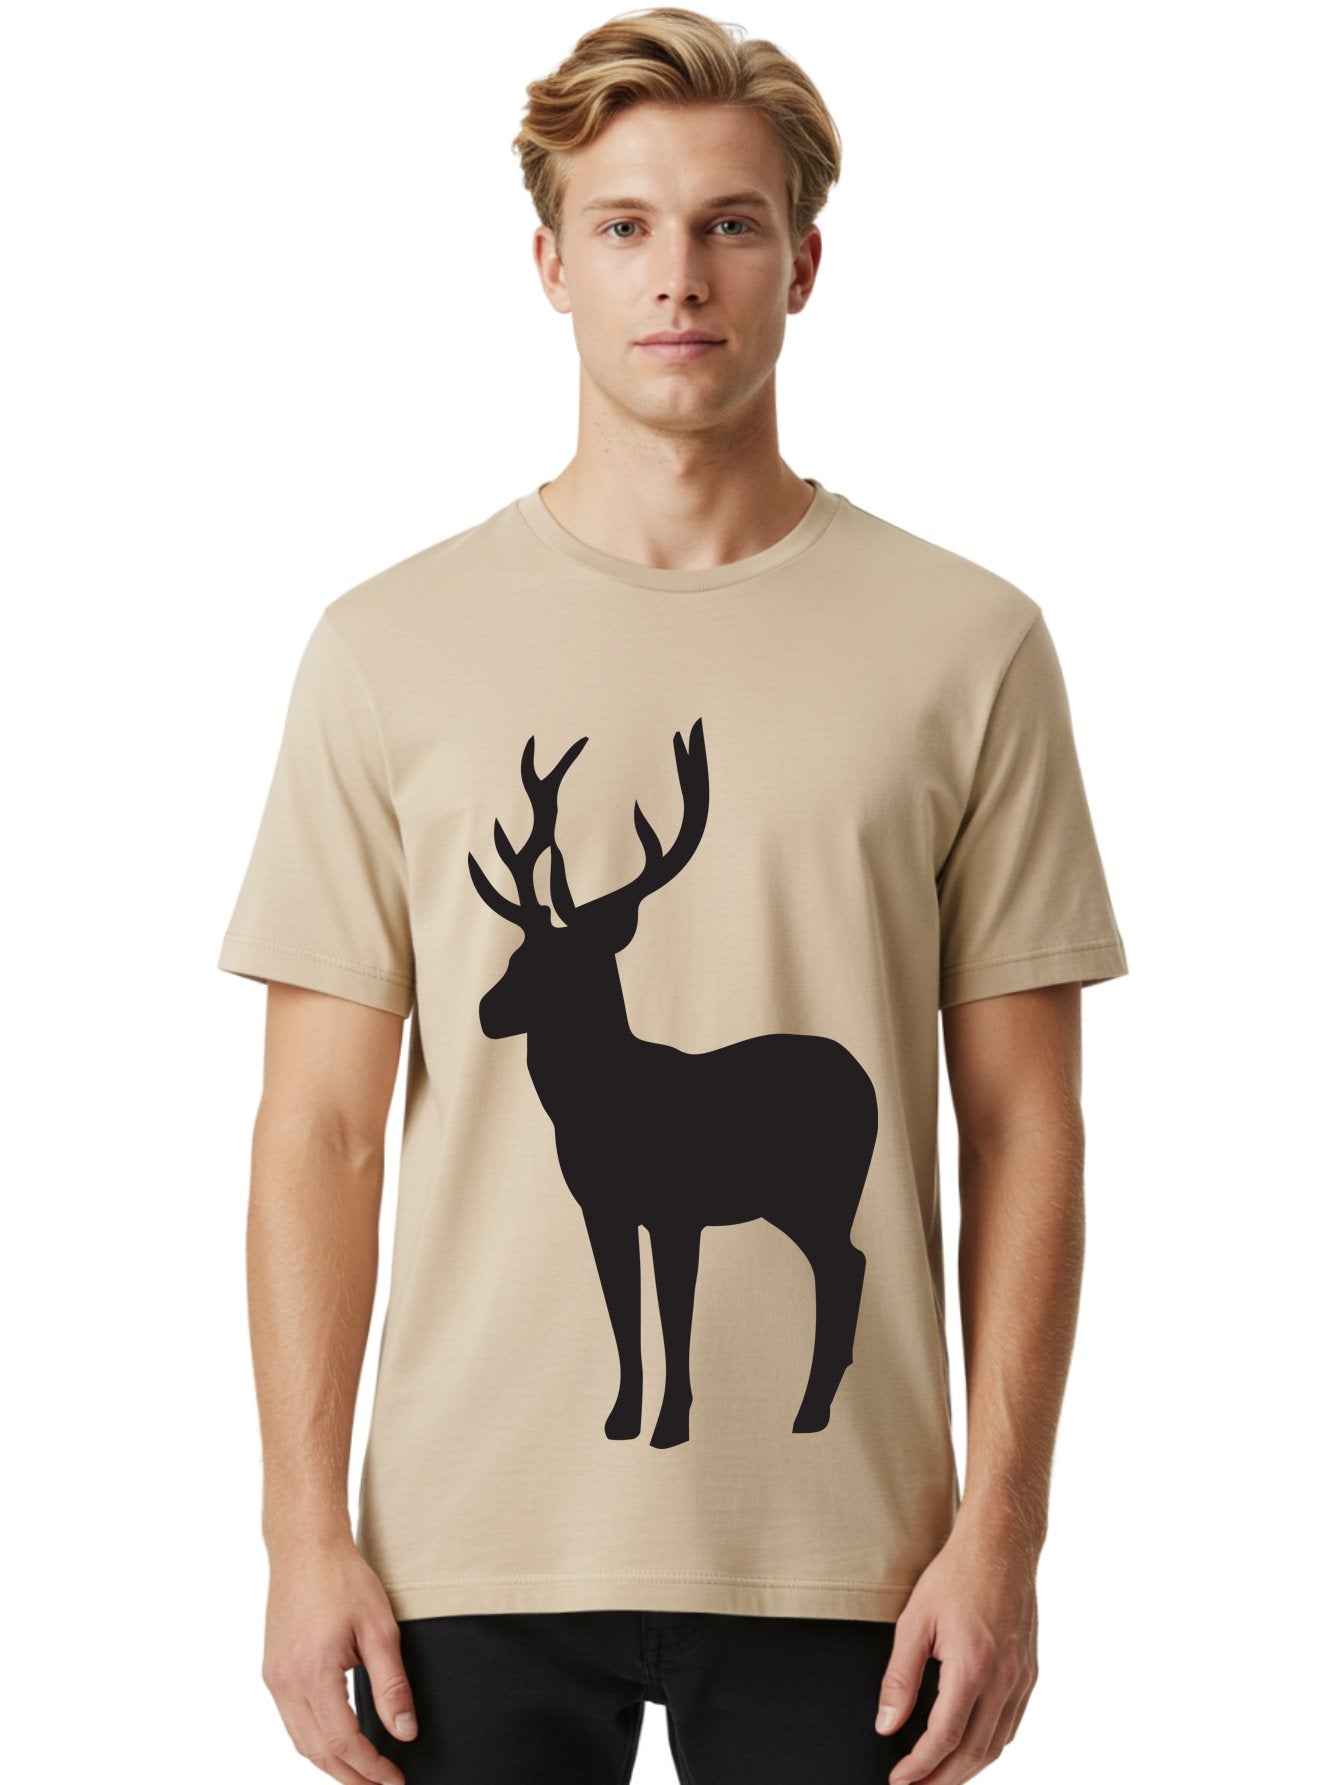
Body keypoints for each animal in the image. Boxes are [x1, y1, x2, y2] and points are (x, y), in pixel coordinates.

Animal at [467, 718, 877, 1449]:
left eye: (563, 965)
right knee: (842, 1264)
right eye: (517, 954)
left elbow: (673, 1316)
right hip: (798, 1202)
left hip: (824, 1189)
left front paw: (670, 1426)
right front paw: (620, 1420)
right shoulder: (601, 1207)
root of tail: (868, 1086)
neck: (602, 1106)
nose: (487, 1010)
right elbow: (623, 1313)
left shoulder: (677, 1206)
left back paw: (809, 1412)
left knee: (845, 1265)